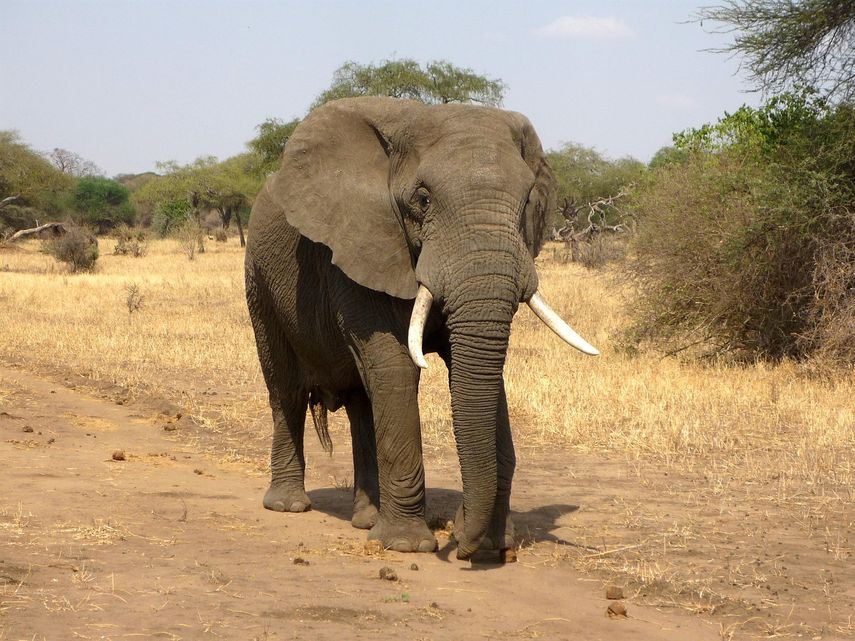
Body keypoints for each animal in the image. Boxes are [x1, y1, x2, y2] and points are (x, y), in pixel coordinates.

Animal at [244, 96, 598, 560]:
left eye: (526, 202)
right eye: (423, 199)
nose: (461, 544)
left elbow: (481, 373)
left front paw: (492, 544)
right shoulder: (362, 245)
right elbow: (397, 367)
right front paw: (406, 546)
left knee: (362, 401)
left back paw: (366, 519)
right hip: (258, 278)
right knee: (285, 387)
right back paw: (289, 506)